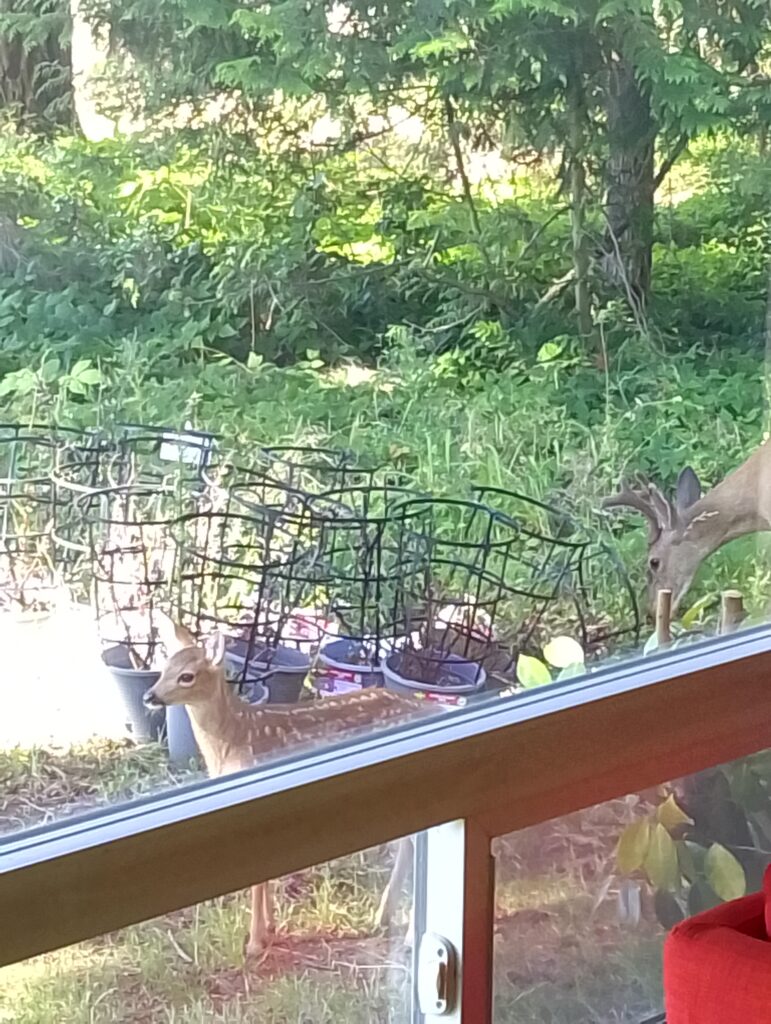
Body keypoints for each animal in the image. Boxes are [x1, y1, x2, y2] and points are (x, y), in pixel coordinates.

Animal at [143, 618, 427, 963]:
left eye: (187, 675)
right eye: (164, 667)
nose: (149, 696)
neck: (234, 739)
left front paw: (254, 943)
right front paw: (270, 928)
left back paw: (409, 935)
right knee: (409, 844)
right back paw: (382, 918)